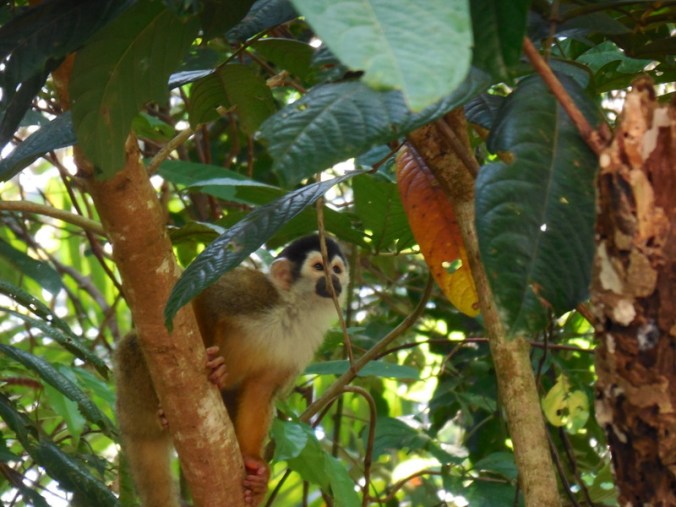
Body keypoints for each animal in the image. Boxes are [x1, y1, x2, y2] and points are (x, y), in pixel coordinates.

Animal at [114, 234, 349, 507]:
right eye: (319, 267)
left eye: (336, 269)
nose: (334, 280)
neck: (296, 309)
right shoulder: (257, 293)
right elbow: (200, 297)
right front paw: (215, 364)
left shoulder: (302, 347)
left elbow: (261, 389)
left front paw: (255, 469)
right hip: (132, 403)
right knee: (136, 346)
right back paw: (160, 417)